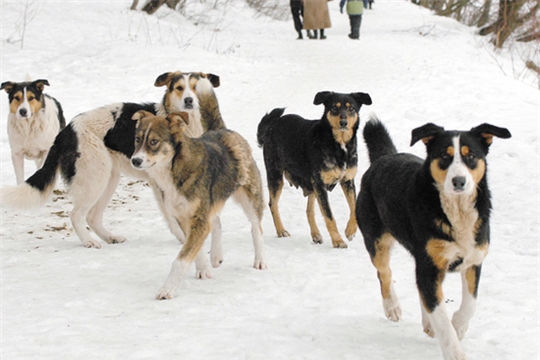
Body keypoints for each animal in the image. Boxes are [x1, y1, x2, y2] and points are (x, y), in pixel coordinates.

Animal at [0, 71, 224, 249]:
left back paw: (110, 237)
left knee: (92, 216)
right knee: (77, 215)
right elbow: (173, 217)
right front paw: (185, 239)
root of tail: (66, 131)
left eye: (196, 88)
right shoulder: (159, 184)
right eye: (180, 88)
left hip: (109, 178)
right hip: (95, 178)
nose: (189, 100)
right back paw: (89, 241)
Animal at [131, 110, 266, 300]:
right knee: (216, 221)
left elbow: (181, 260)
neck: (173, 170)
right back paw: (216, 255)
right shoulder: (183, 217)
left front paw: (167, 289)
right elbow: (196, 248)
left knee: (256, 228)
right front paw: (203, 268)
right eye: (137, 139)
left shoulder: (199, 219)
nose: (135, 160)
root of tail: (223, 130)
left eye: (154, 141)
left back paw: (260, 260)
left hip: (250, 197)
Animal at [258, 90, 372, 248]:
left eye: (351, 109)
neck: (338, 145)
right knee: (272, 204)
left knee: (309, 210)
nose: (344, 123)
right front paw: (338, 241)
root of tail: (272, 126)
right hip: (276, 175)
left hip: (310, 183)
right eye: (334, 108)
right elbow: (329, 216)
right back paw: (281, 230)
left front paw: (350, 231)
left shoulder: (347, 180)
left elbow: (353, 206)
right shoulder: (320, 184)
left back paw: (316, 234)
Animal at [356, 116, 512, 358]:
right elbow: (441, 318)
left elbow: (470, 304)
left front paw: (459, 326)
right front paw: (454, 350)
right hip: (376, 239)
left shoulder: (473, 259)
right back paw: (392, 306)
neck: (456, 213)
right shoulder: (430, 265)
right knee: (385, 273)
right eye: (445, 157)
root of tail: (384, 157)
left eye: (470, 156)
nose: (459, 181)